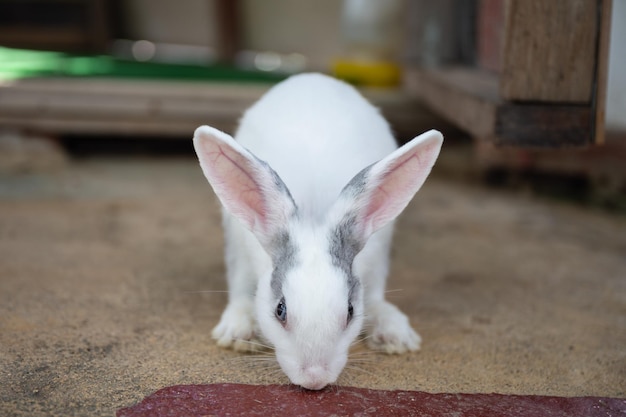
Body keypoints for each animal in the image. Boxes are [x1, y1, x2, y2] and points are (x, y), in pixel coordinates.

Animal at [193, 72, 442, 390]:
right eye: (280, 310)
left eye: (350, 311)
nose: (314, 378)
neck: (313, 212)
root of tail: (312, 77)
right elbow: (240, 289)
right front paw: (237, 334)